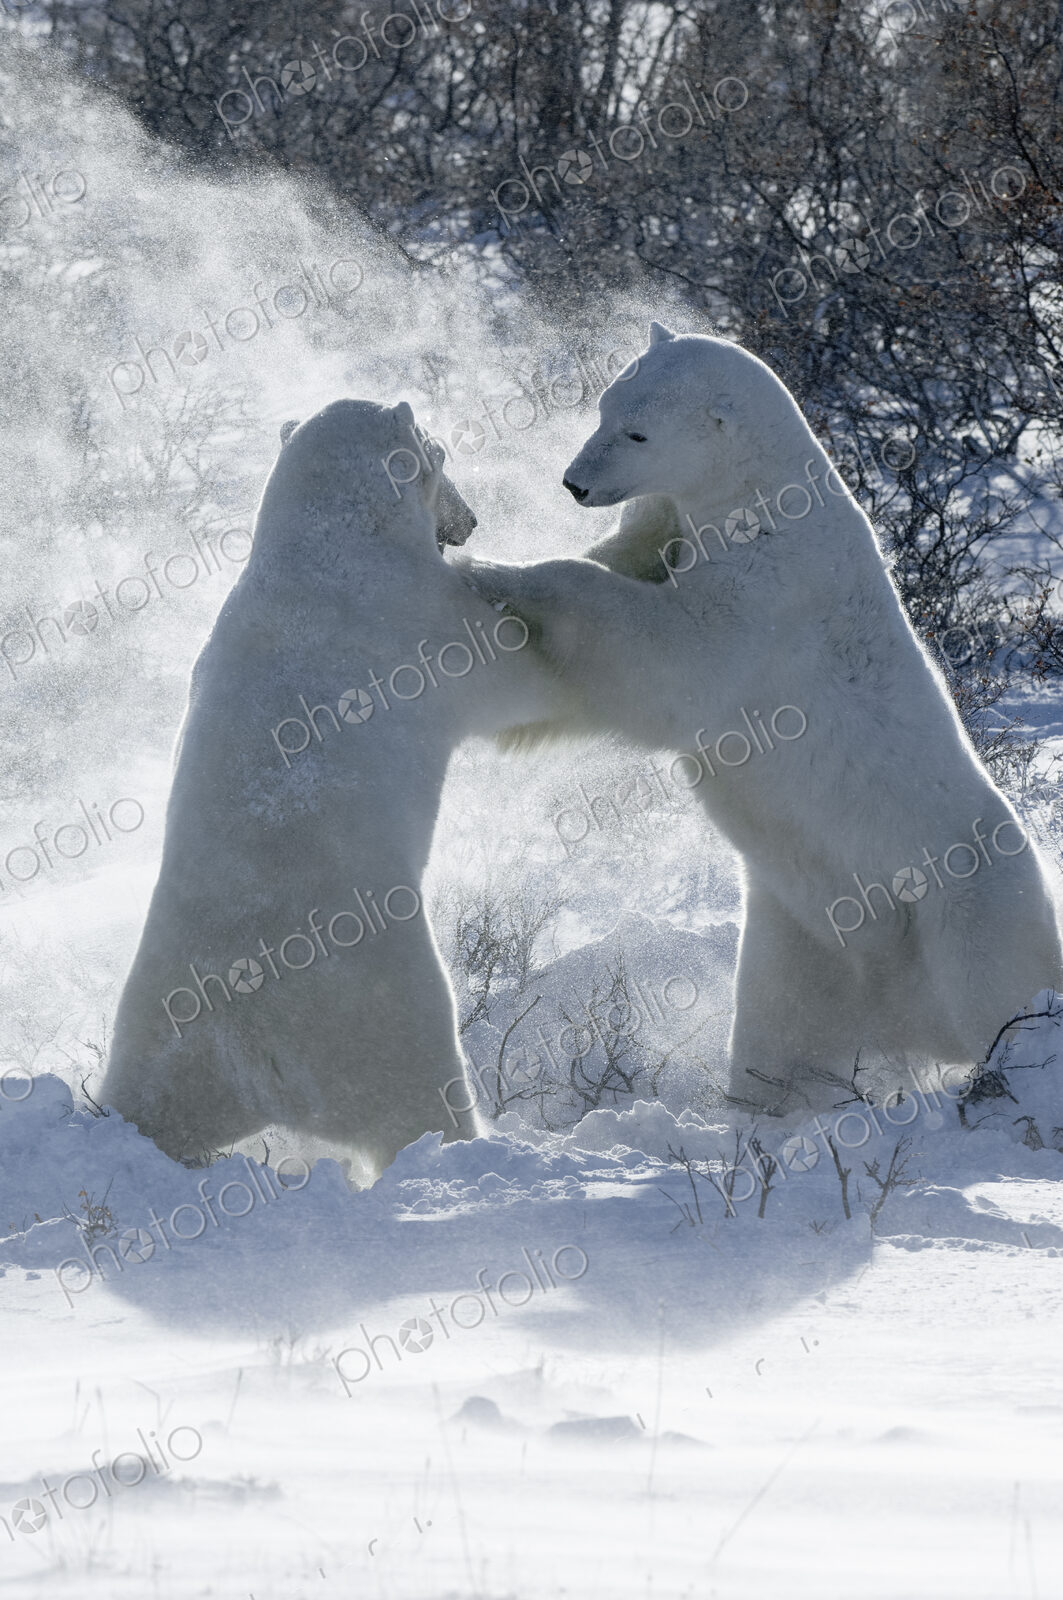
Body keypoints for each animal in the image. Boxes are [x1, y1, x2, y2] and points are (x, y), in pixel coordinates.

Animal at [102, 398, 569, 1175]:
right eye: (439, 449)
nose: (471, 521)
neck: (322, 542)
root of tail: (253, 1036)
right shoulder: (414, 618)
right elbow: (506, 670)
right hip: (383, 1002)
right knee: (419, 1092)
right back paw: (468, 1149)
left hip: (163, 1030)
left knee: (155, 1100)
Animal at [458, 324, 1063, 1117]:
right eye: (603, 407)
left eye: (637, 431)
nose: (573, 483)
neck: (762, 499)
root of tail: (909, 1012)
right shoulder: (678, 532)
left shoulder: (770, 594)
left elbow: (670, 658)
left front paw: (497, 572)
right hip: (805, 935)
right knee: (782, 1029)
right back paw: (766, 1105)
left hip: (962, 903)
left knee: (1000, 995)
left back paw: (1011, 1075)